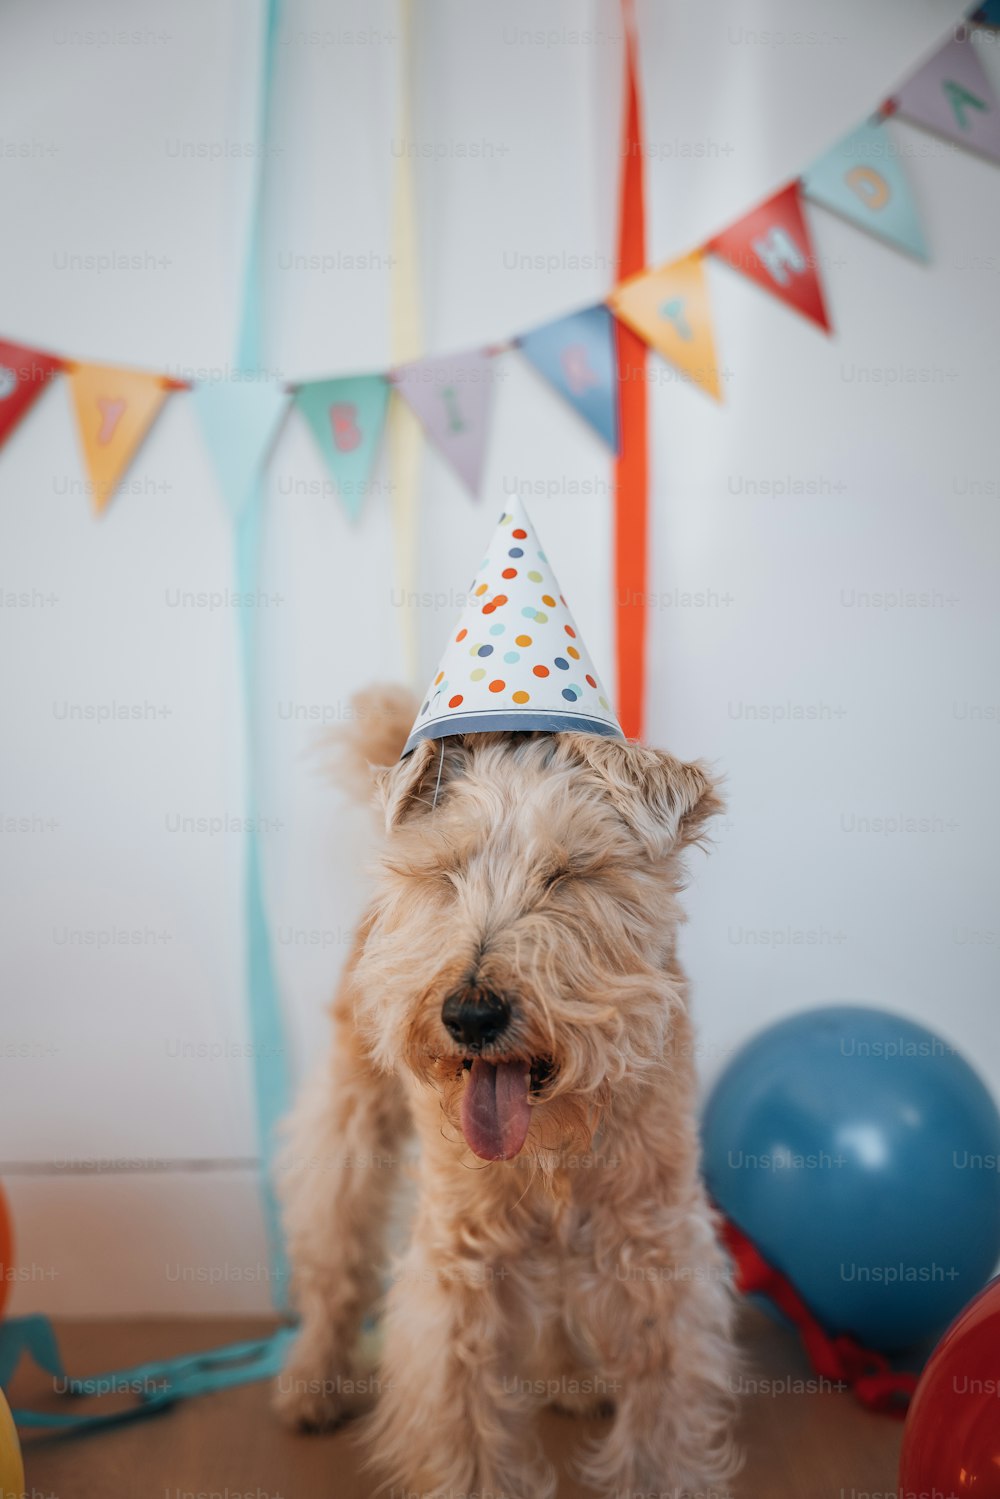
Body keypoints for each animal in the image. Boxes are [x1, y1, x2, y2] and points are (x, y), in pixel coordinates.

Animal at [275, 686, 743, 1493]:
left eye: (568, 873)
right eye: (446, 871)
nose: (470, 1015)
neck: (552, 1144)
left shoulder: (657, 1251)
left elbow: (660, 1415)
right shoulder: (458, 1263)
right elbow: (462, 1425)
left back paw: (572, 1378)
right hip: (347, 1130)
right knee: (335, 1259)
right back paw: (313, 1384)